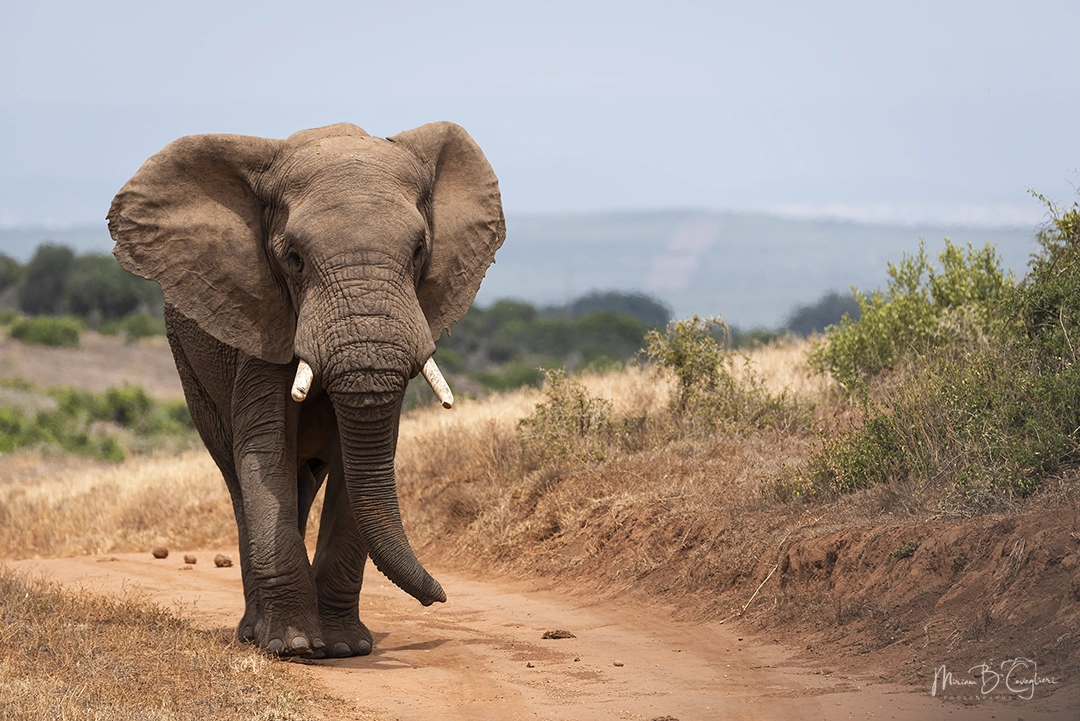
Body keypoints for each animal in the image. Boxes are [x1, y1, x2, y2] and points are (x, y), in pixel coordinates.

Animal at [107, 121, 505, 657]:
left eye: (420, 251)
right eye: (293, 258)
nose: (439, 597)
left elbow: (363, 460)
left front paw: (343, 648)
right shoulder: (260, 317)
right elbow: (264, 448)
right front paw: (294, 647)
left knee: (303, 479)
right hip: (189, 369)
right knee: (237, 475)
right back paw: (255, 635)